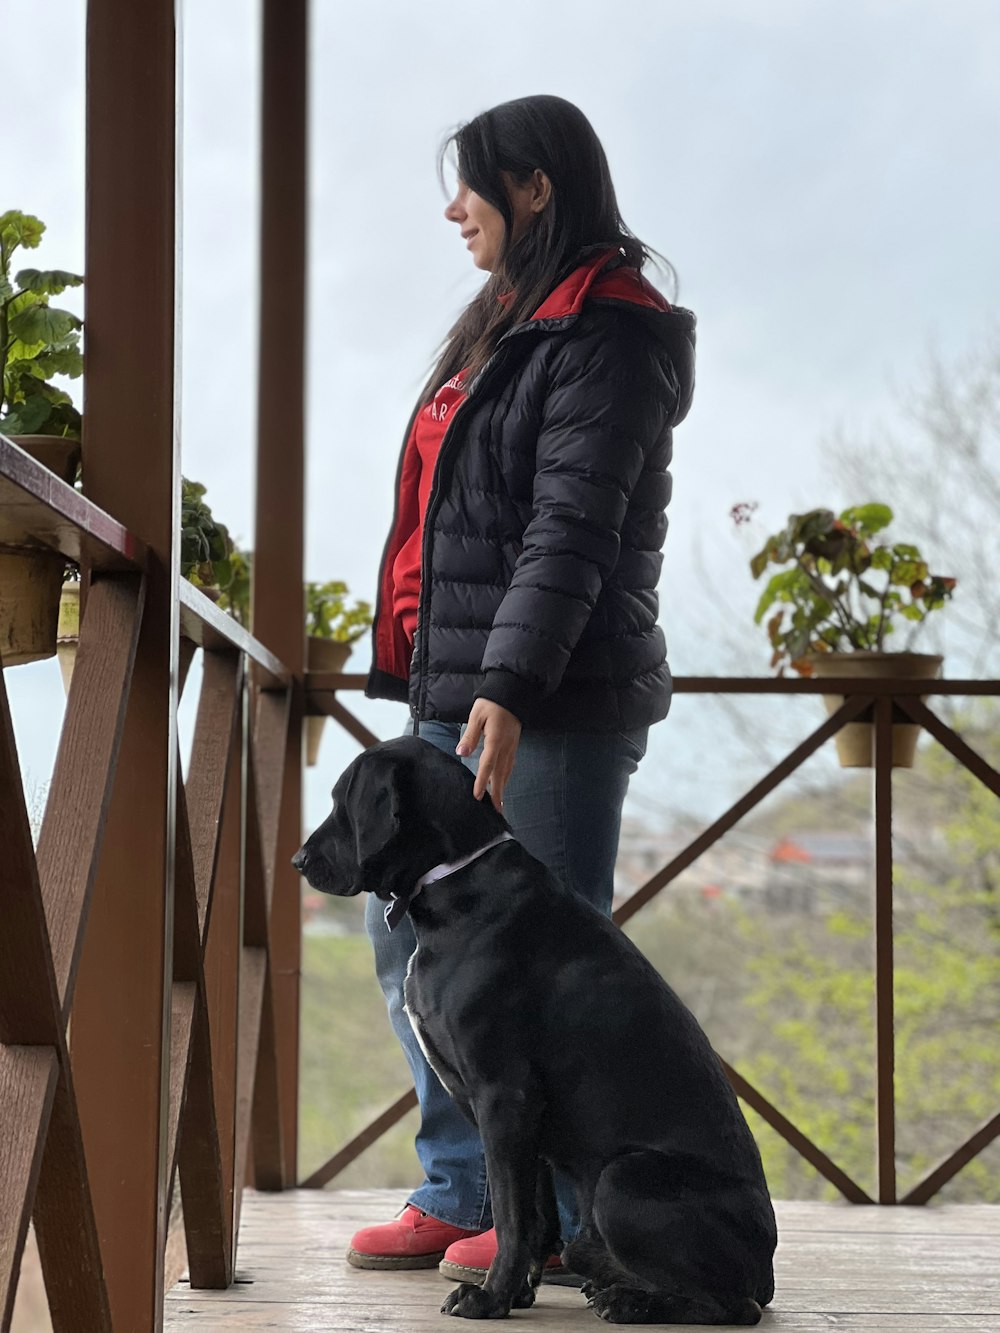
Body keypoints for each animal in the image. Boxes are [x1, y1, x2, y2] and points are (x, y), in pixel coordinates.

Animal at [293, 741, 778, 1322]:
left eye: (343, 800)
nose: (298, 861)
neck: (458, 883)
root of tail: (769, 1267)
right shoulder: (525, 1119)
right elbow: (536, 1216)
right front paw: (516, 1292)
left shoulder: (504, 1096)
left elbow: (510, 1215)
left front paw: (488, 1297)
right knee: (590, 1252)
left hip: (622, 1178)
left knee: (735, 1306)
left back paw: (631, 1301)